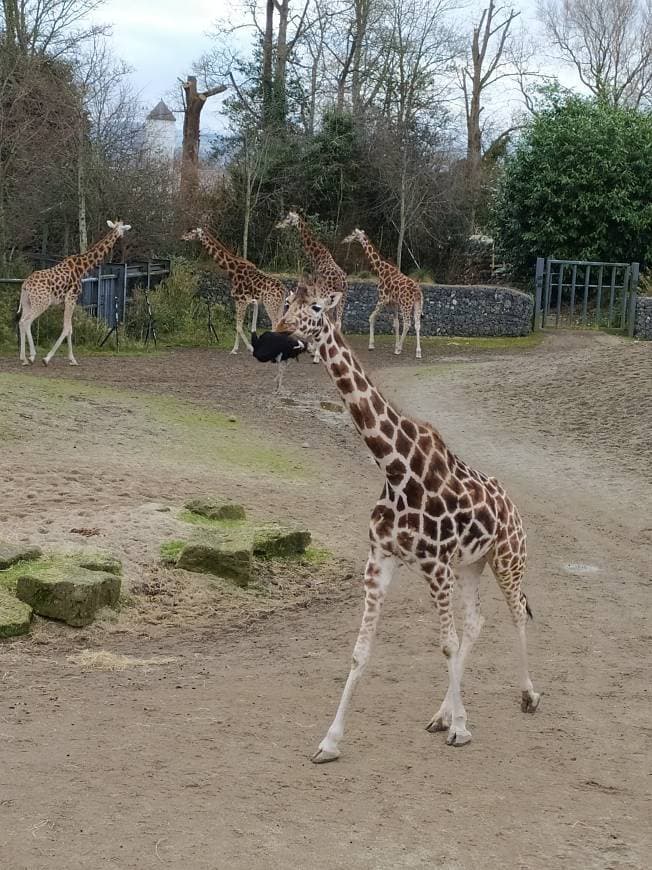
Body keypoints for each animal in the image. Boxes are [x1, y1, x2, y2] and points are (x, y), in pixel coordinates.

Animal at [16, 221, 131, 368]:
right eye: (123, 228)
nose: (123, 238)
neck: (83, 267)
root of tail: (25, 285)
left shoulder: (67, 300)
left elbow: (69, 328)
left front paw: (72, 359)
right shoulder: (72, 297)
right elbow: (67, 328)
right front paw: (47, 359)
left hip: (27, 303)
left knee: (21, 322)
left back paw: (23, 358)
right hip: (41, 303)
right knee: (27, 322)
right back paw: (31, 356)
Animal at [182, 230, 286, 360]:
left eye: (191, 232)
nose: (182, 238)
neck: (232, 270)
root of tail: (283, 290)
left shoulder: (241, 300)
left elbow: (238, 327)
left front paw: (249, 348)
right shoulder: (242, 301)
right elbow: (238, 326)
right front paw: (235, 349)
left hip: (270, 305)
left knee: (275, 324)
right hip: (279, 305)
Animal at [274, 209, 346, 362]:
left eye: (288, 218)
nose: (278, 225)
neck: (318, 257)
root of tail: (340, 280)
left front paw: (315, 350)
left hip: (329, 296)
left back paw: (318, 356)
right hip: (342, 299)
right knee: (338, 322)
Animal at [276, 280, 540, 764]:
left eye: (317, 307)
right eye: (286, 302)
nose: (282, 330)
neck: (395, 467)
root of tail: (511, 504)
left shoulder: (434, 565)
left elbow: (445, 643)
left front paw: (462, 729)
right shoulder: (380, 558)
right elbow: (361, 651)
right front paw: (329, 741)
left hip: (508, 557)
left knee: (516, 613)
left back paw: (527, 695)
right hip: (471, 564)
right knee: (476, 622)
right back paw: (441, 713)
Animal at [344, 228, 426, 362]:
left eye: (352, 234)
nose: (345, 240)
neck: (381, 270)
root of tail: (417, 292)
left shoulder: (382, 298)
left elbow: (371, 317)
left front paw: (371, 345)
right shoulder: (393, 303)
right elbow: (396, 323)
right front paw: (396, 345)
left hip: (406, 305)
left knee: (408, 323)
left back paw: (399, 349)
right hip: (418, 304)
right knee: (417, 324)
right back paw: (418, 352)